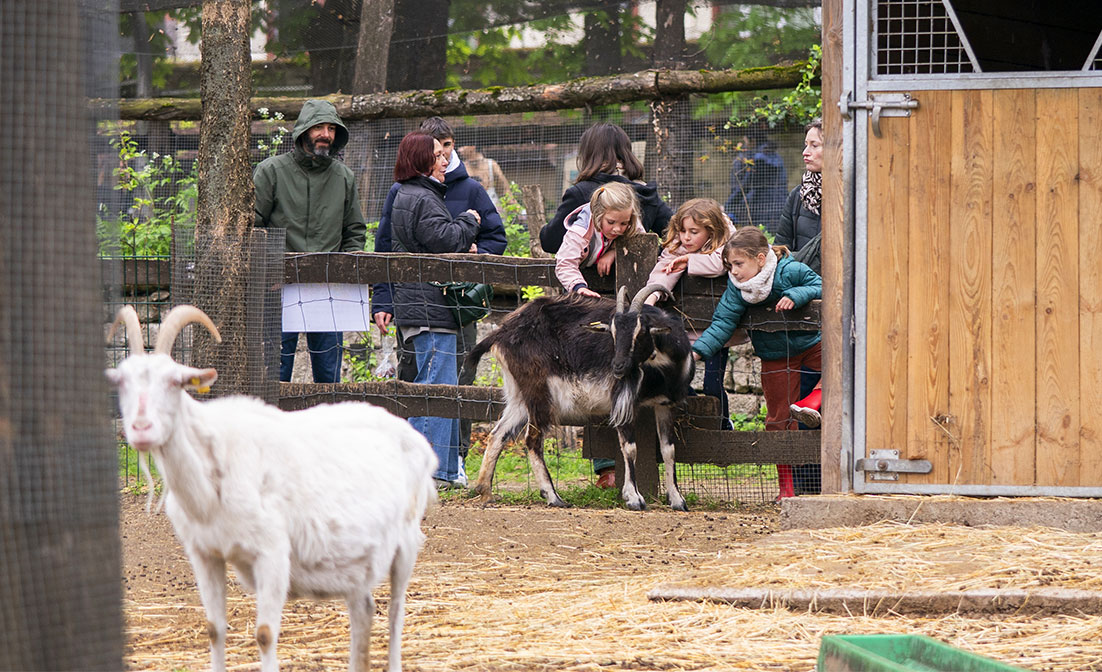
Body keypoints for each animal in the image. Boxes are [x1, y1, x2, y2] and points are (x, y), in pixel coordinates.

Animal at [106, 304, 437, 672]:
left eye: (175, 381)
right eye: (121, 382)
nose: (141, 428)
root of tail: (417, 440)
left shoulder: (273, 552)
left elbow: (264, 634)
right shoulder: (205, 553)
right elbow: (214, 629)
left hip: (406, 544)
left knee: (395, 612)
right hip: (356, 560)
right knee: (364, 610)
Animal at [466, 284, 694, 511]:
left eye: (641, 331)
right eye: (612, 333)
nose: (617, 367)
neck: (661, 371)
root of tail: (501, 333)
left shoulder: (665, 404)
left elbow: (668, 450)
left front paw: (677, 500)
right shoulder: (623, 400)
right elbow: (630, 448)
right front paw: (634, 498)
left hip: (520, 396)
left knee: (498, 434)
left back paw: (485, 491)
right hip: (539, 393)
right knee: (532, 439)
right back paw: (553, 497)